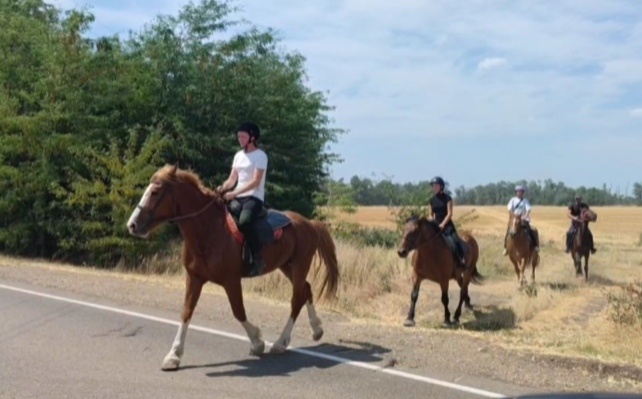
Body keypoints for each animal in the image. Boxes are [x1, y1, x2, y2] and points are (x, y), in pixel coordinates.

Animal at [122, 164, 338, 370]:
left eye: (155, 192)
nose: (132, 225)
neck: (209, 230)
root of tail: (309, 223)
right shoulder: (194, 278)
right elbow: (186, 312)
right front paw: (173, 356)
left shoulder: (231, 280)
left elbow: (238, 311)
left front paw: (257, 342)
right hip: (287, 266)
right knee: (306, 290)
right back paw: (317, 330)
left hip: (300, 265)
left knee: (296, 300)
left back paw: (281, 342)